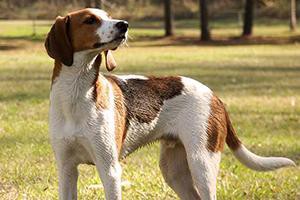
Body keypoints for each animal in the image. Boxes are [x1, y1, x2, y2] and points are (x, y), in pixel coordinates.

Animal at [44, 8, 296, 200]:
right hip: (174, 170)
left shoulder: (110, 169)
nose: (124, 25)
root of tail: (215, 96)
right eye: (90, 20)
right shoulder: (66, 169)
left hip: (201, 163)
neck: (76, 94)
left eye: (108, 16)